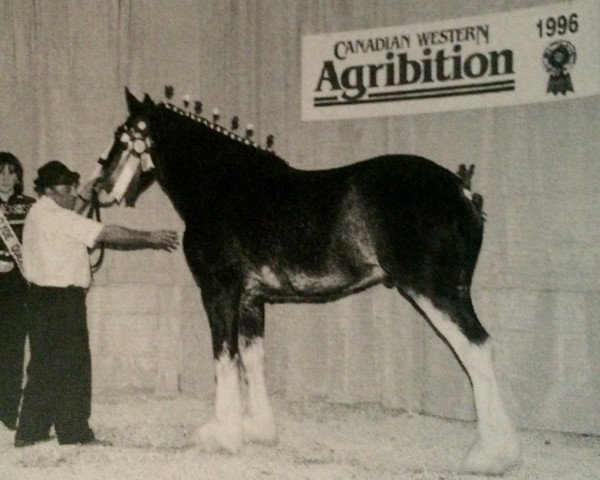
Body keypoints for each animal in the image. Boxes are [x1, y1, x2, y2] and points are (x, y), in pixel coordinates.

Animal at [98, 90, 520, 476]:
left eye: (123, 135)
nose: (100, 187)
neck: (225, 187)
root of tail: (462, 189)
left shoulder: (220, 292)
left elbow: (224, 358)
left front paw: (222, 435)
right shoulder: (251, 299)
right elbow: (252, 358)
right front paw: (257, 429)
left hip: (437, 292)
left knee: (476, 349)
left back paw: (489, 456)